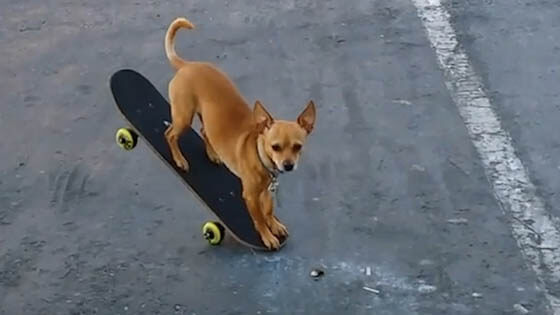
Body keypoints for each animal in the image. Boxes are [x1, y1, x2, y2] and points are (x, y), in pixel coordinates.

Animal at [164, 17, 318, 251]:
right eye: (275, 147)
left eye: (298, 147)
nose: (288, 165)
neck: (259, 154)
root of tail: (188, 65)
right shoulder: (251, 196)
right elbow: (259, 218)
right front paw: (267, 236)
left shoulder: (266, 191)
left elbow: (269, 210)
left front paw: (274, 225)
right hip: (183, 117)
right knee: (170, 134)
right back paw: (180, 159)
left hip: (204, 117)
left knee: (203, 131)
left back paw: (213, 154)